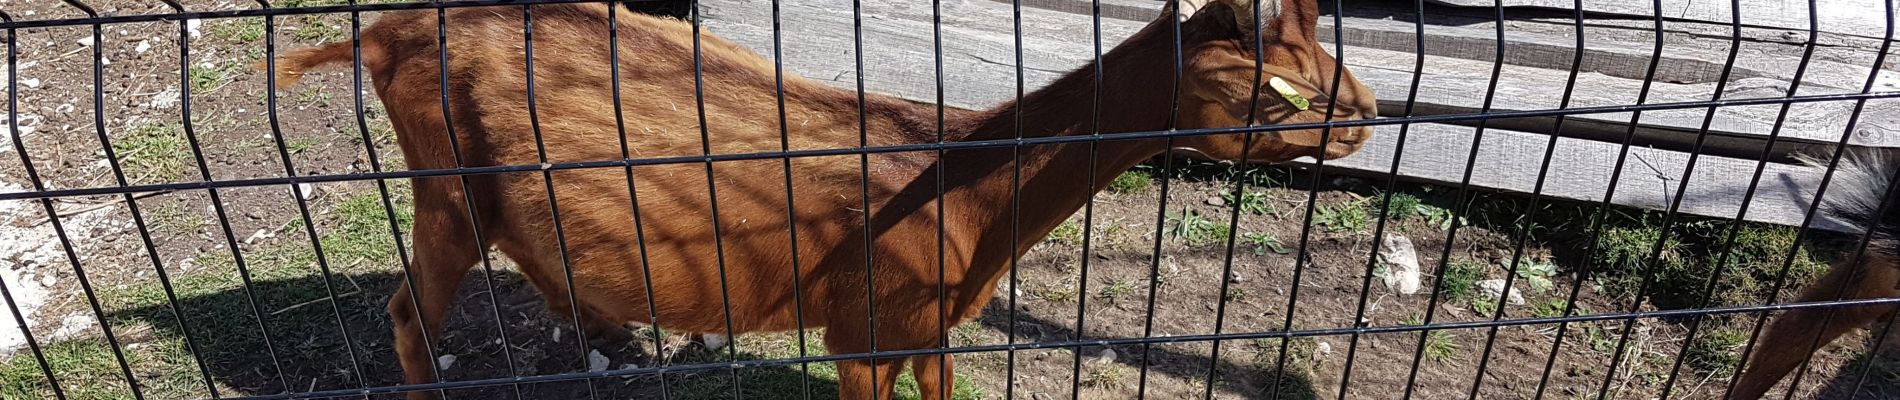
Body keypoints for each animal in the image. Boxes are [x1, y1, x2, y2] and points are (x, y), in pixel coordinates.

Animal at [267, 1, 1368, 398]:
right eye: (1281, 88)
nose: (1367, 115)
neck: (967, 193)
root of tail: (384, 31)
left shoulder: (927, 321)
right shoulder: (865, 323)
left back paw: (609, 331)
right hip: (442, 183)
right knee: (409, 312)